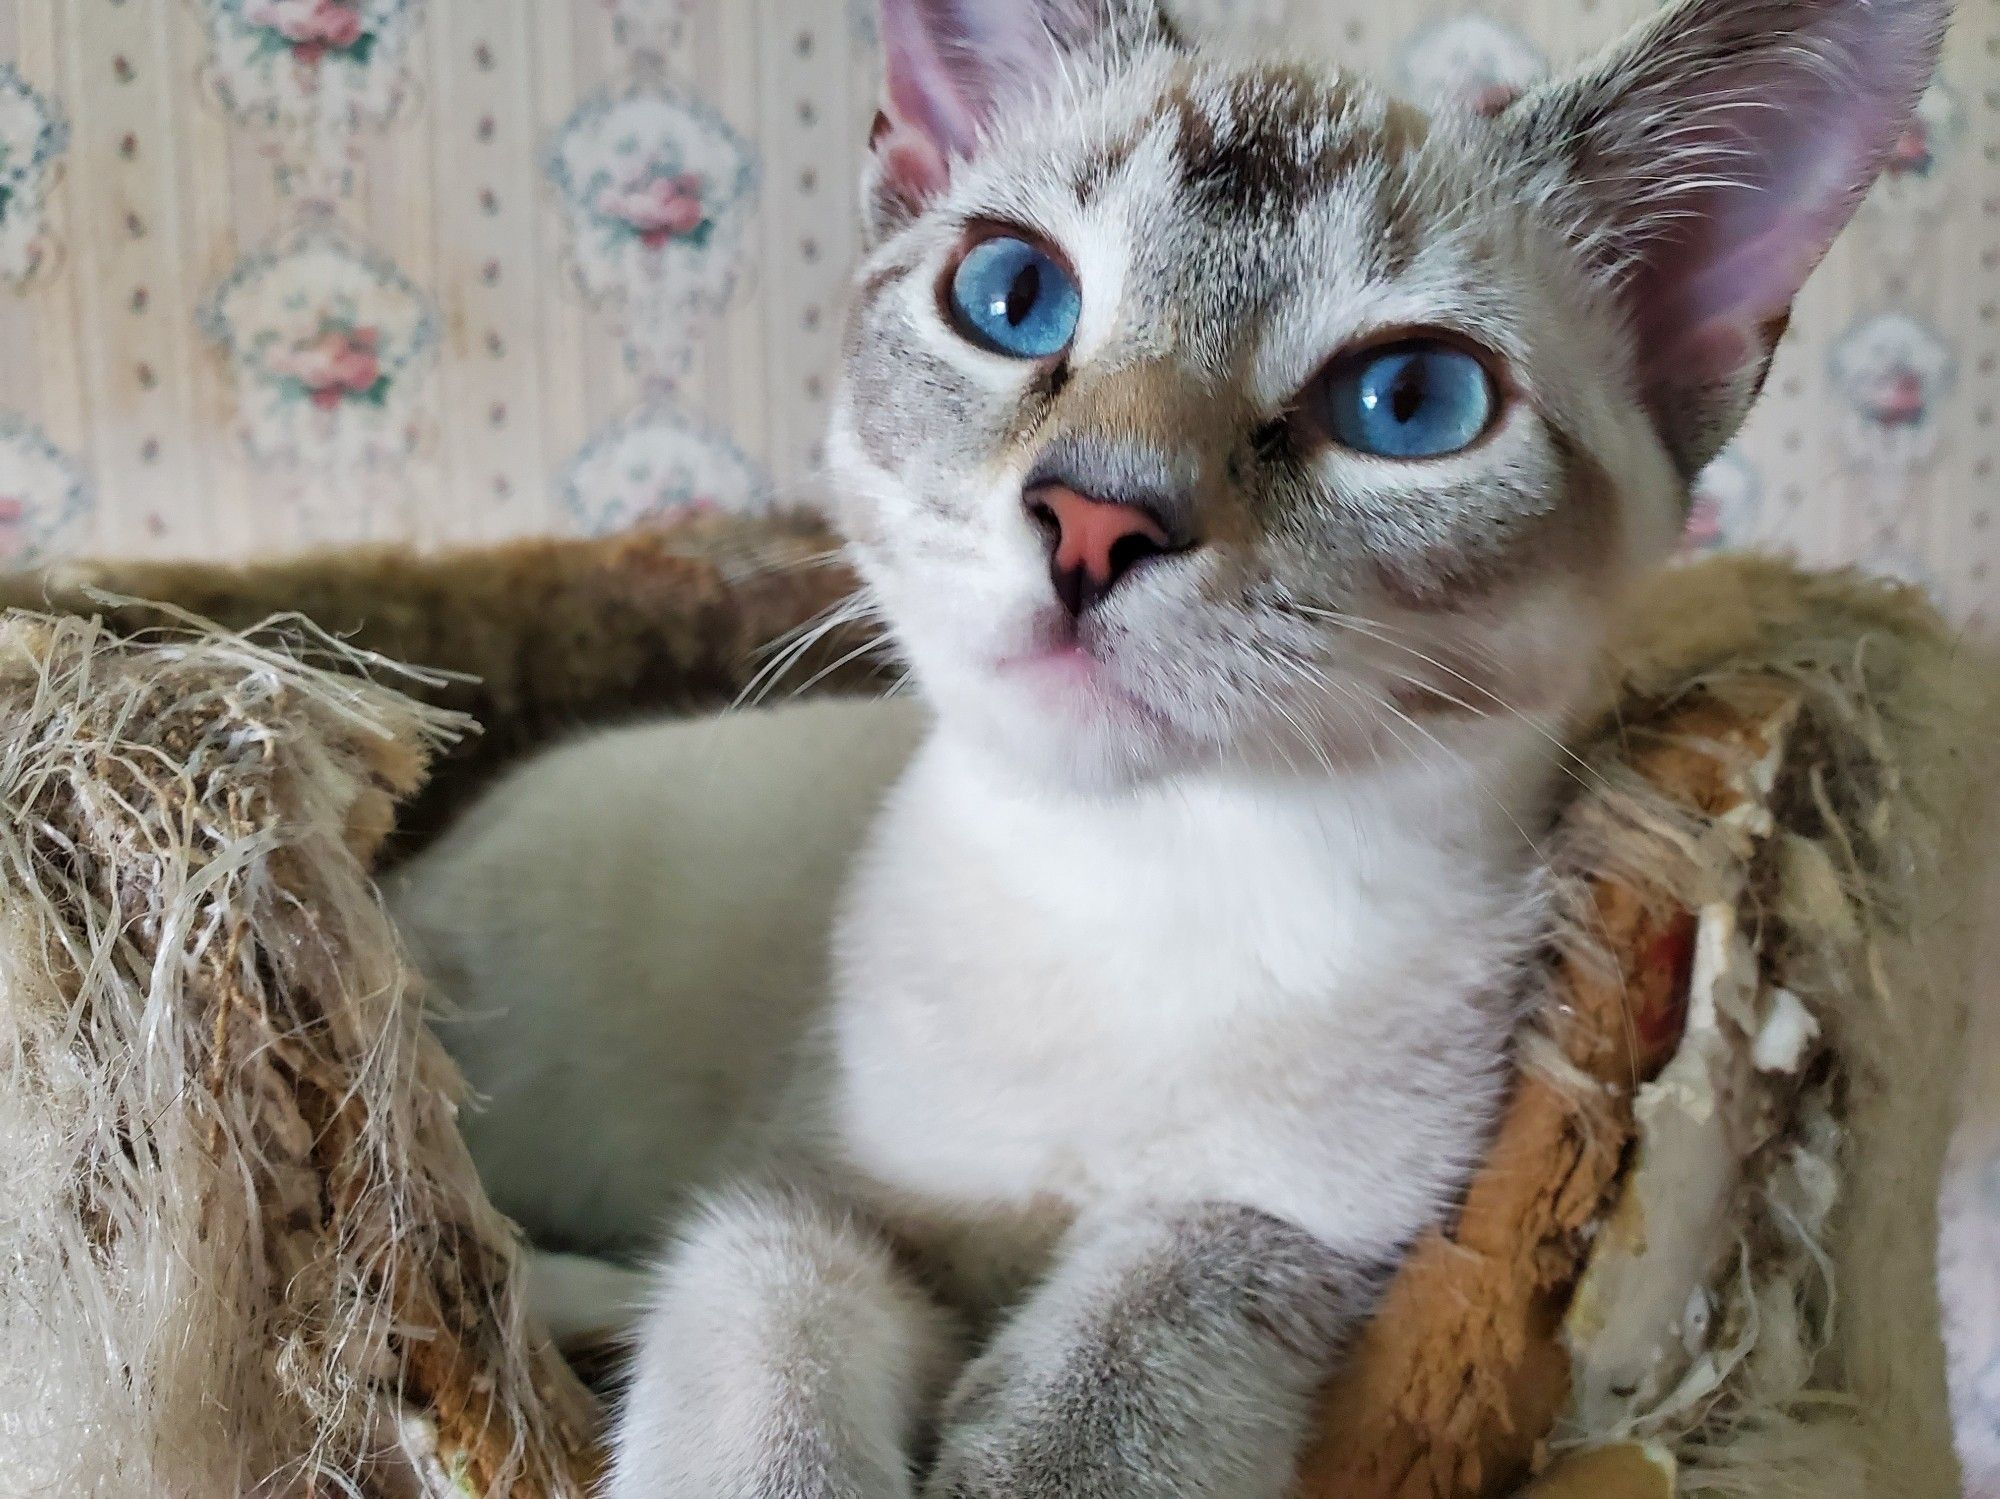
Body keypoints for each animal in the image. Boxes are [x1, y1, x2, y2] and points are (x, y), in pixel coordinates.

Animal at [386, 2, 1936, 1495]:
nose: (1093, 519)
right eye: (1014, 299)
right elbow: (762, 1319)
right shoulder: (820, 1185)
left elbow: (1103, 1400)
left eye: (1409, 401)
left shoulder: (1298, 1225)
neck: (1135, 887)